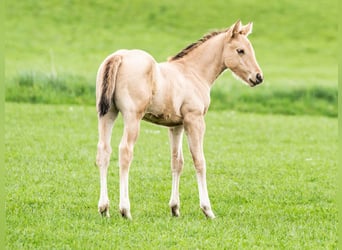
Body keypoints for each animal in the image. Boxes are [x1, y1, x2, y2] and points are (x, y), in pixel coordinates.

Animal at [95, 20, 264, 219]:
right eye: (240, 50)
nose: (258, 77)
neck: (192, 72)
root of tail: (119, 56)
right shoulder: (195, 120)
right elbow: (199, 161)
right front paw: (207, 210)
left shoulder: (176, 126)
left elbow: (177, 162)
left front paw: (175, 208)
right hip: (132, 117)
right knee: (125, 151)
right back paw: (125, 210)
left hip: (107, 114)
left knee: (104, 151)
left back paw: (104, 208)